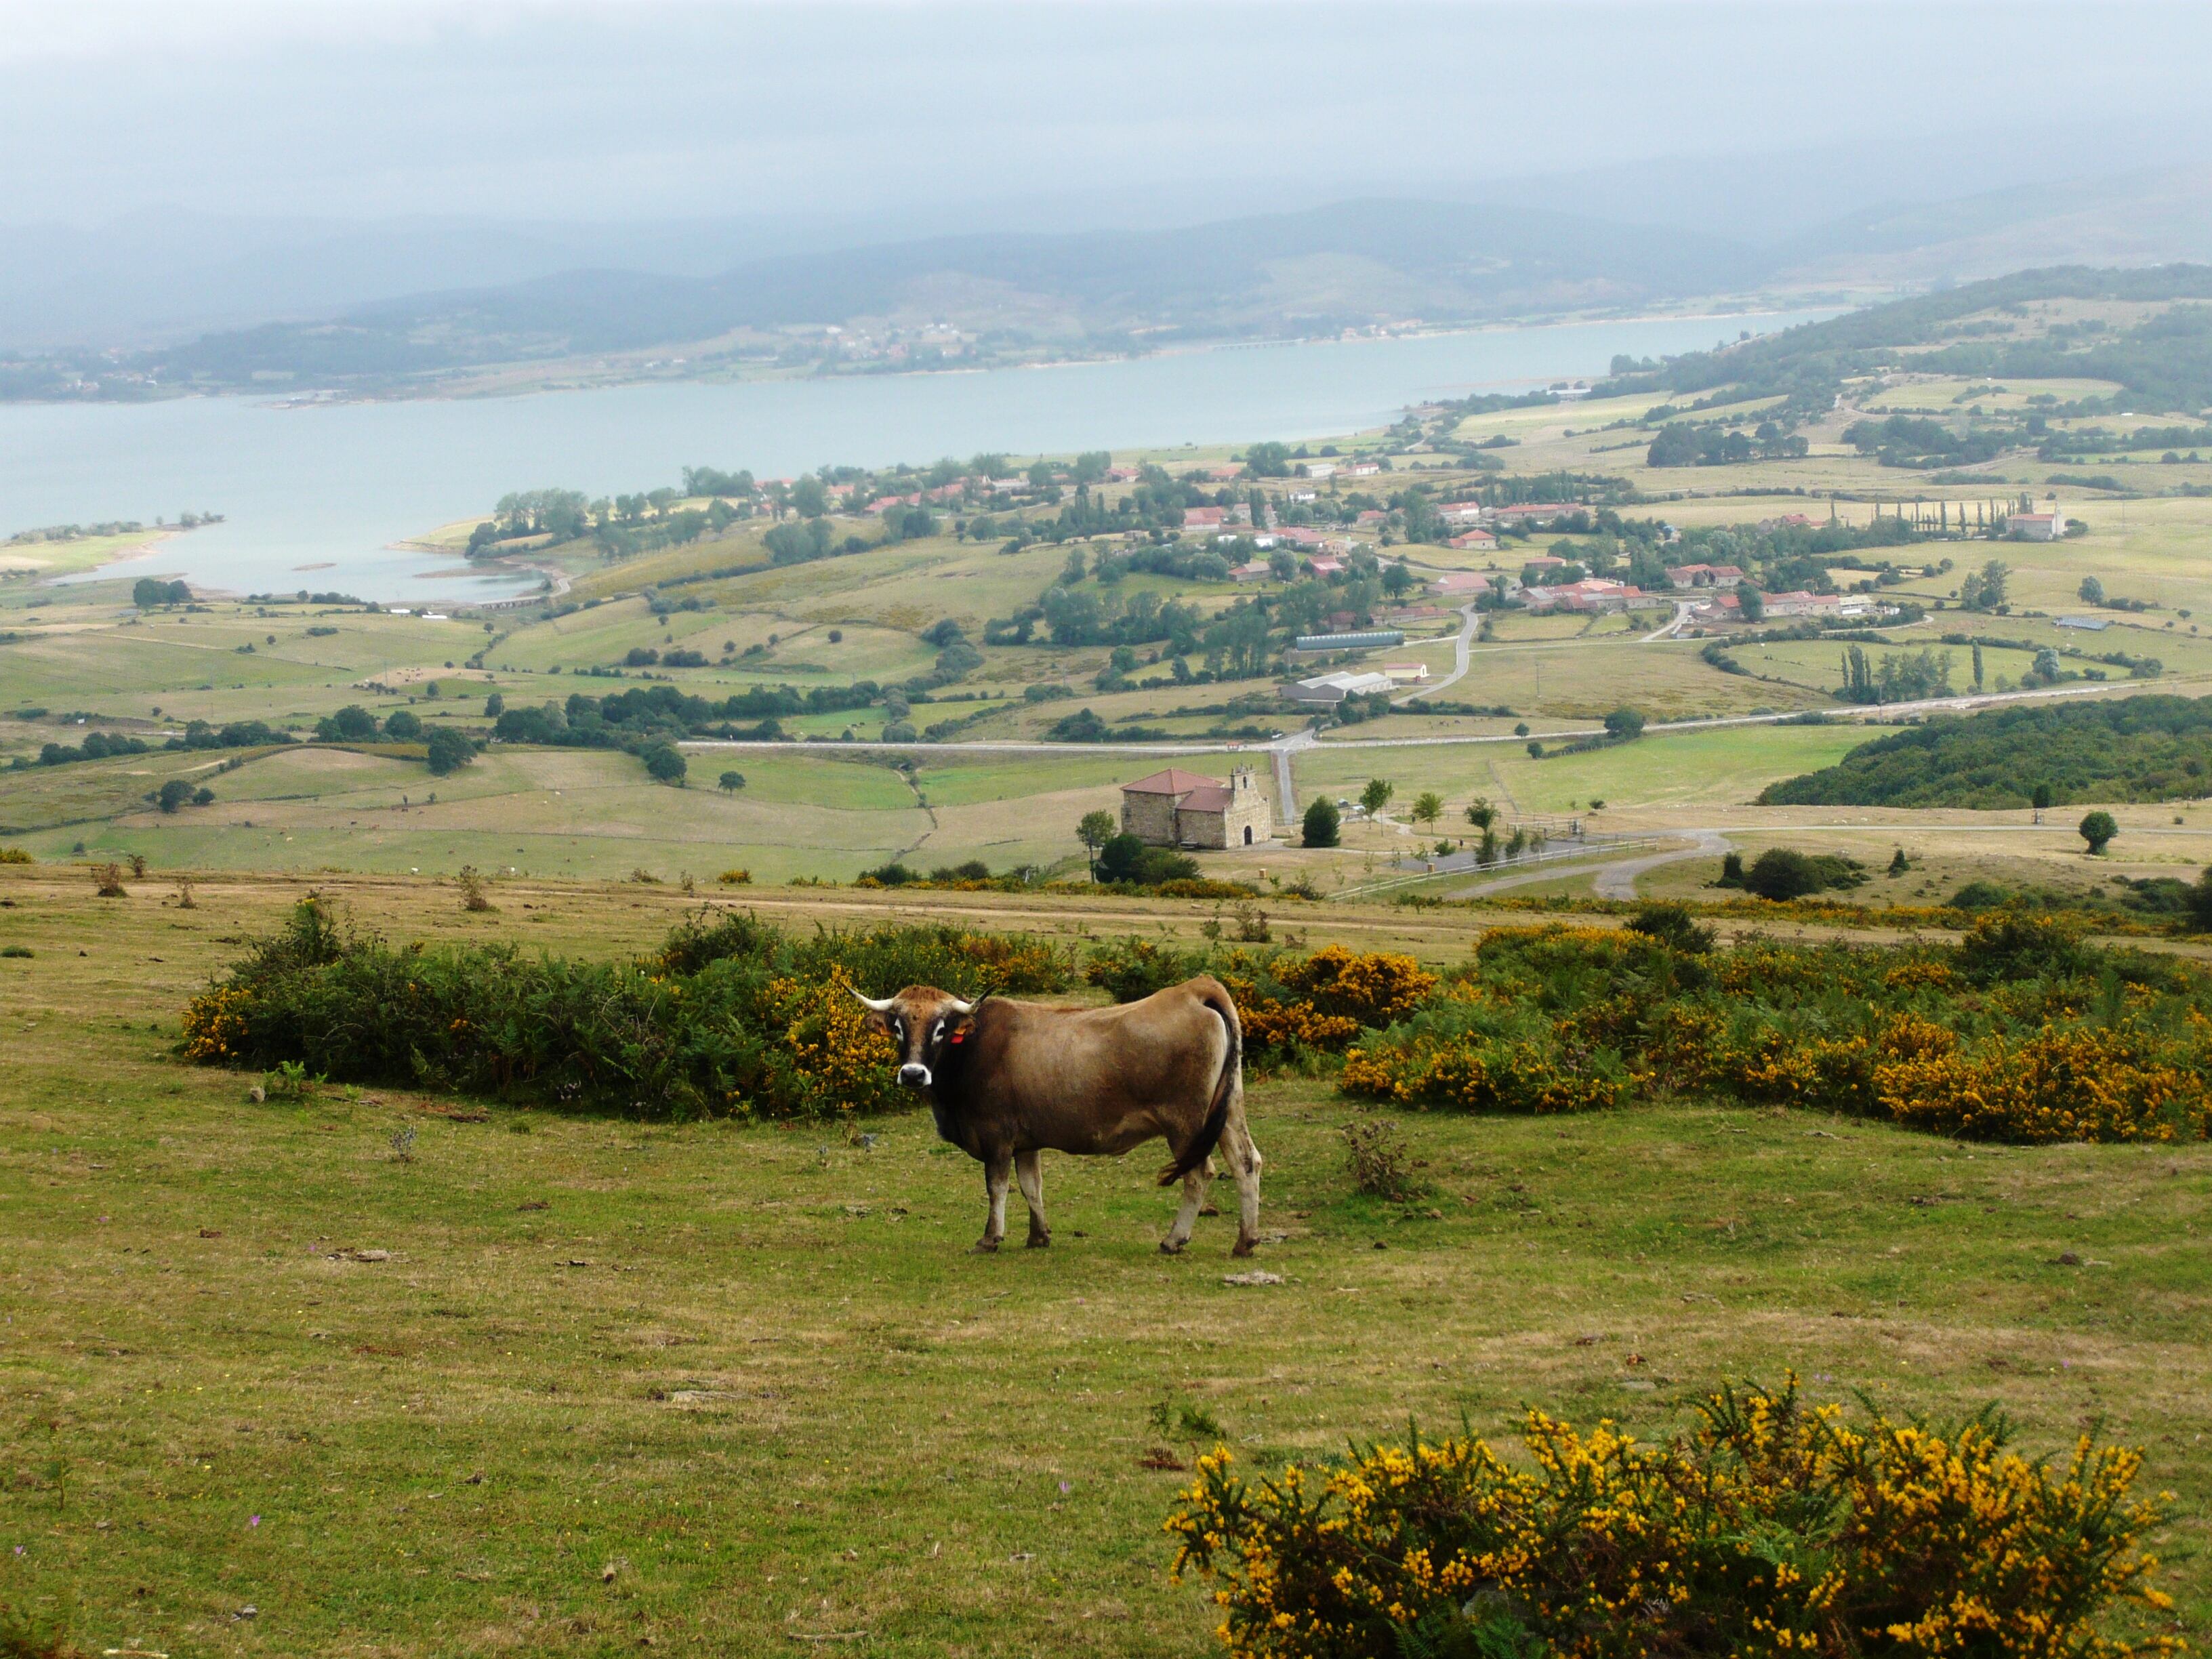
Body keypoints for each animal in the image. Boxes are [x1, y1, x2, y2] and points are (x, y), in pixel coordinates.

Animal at [849, 973, 1265, 1256]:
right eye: (898, 1027)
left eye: (940, 1029)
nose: (913, 1074)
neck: (972, 1047)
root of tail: (1196, 990)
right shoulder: (1025, 1141)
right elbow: (1032, 1185)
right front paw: (1039, 1235)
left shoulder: (996, 1137)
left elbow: (997, 1187)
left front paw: (990, 1238)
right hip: (1228, 1110)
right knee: (1246, 1162)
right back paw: (1245, 1241)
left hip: (1185, 1125)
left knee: (1199, 1173)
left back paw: (1174, 1239)